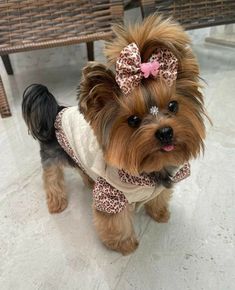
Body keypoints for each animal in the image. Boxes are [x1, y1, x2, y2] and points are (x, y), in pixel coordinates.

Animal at [22, 14, 206, 255]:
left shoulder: (158, 186)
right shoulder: (111, 196)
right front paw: (126, 245)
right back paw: (56, 203)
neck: (149, 169)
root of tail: (57, 111)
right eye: (133, 120)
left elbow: (158, 198)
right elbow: (115, 223)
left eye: (173, 106)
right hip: (52, 158)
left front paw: (160, 214)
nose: (165, 132)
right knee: (52, 179)